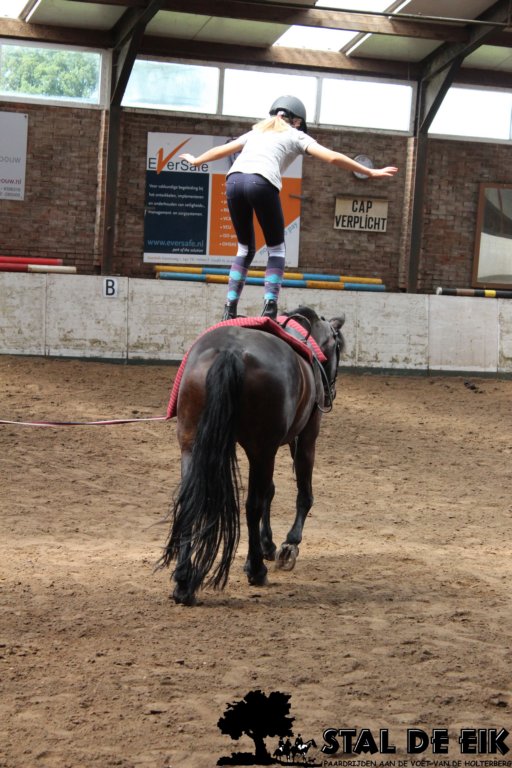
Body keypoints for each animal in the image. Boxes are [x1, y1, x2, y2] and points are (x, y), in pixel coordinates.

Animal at [159, 306, 345, 606]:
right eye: (338, 345)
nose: (330, 394)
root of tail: (230, 352)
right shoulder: (303, 436)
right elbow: (301, 493)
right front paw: (288, 545)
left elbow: (270, 491)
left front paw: (268, 543)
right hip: (262, 449)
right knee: (252, 505)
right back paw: (256, 569)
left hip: (192, 444)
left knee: (190, 501)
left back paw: (184, 582)